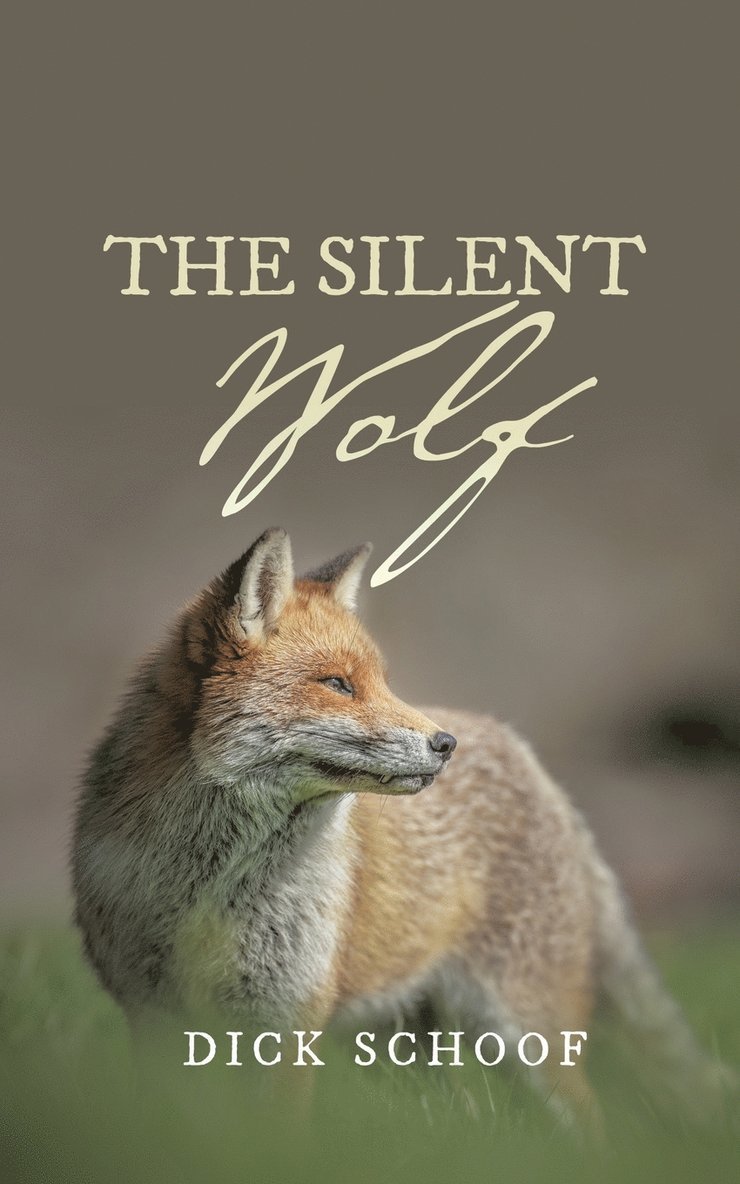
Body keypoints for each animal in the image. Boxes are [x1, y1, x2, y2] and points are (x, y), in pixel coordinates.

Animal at [72, 528, 727, 1121]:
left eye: (382, 681)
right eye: (338, 684)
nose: (446, 744)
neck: (212, 891)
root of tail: (525, 755)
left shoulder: (288, 1022)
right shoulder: (154, 1018)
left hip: (526, 1037)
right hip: (408, 1047)